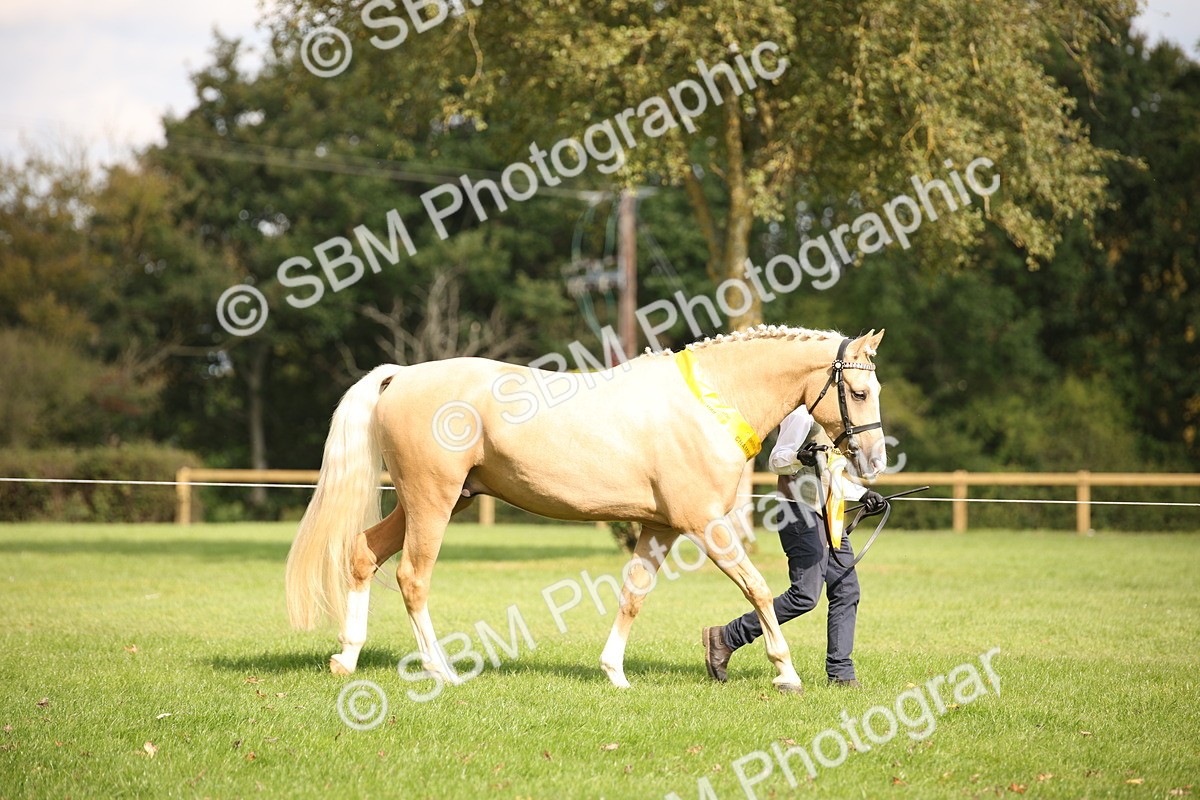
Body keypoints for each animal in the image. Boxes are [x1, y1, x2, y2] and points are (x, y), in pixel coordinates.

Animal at [285, 324, 887, 693]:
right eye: (858, 393)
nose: (875, 459)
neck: (709, 402)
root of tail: (402, 375)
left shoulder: (661, 528)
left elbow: (633, 595)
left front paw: (614, 672)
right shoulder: (705, 524)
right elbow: (758, 589)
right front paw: (785, 672)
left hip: (433, 502)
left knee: (364, 553)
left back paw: (346, 658)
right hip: (431, 501)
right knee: (413, 577)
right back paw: (441, 670)